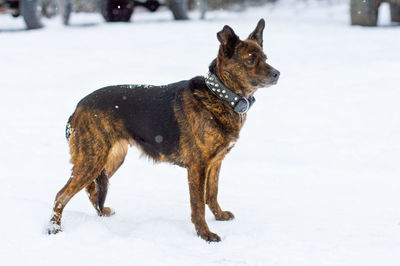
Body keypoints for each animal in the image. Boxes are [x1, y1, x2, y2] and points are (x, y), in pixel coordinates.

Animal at [48, 18, 282, 242]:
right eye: (250, 60)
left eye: (266, 57)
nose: (277, 74)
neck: (221, 94)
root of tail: (77, 108)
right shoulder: (198, 167)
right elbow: (198, 205)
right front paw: (204, 234)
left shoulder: (215, 163)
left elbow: (212, 194)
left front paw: (219, 216)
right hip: (93, 159)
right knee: (61, 194)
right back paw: (54, 228)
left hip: (110, 158)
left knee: (92, 189)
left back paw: (101, 212)